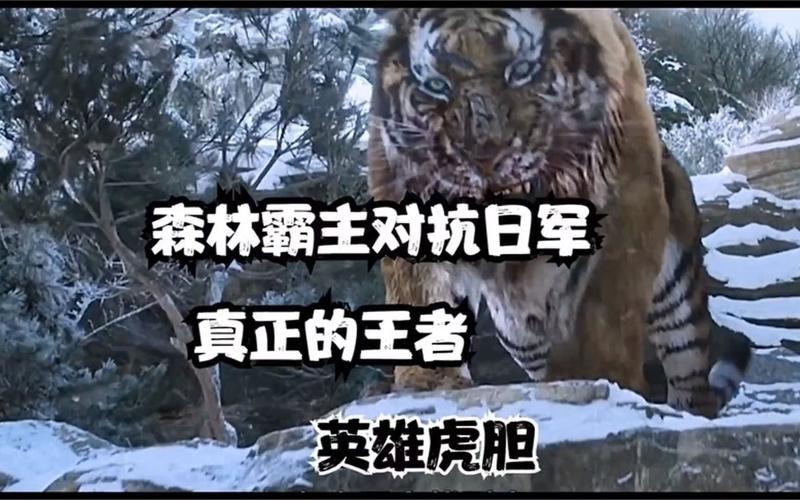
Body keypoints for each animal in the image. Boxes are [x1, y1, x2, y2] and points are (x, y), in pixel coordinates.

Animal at [366, 7, 751, 418]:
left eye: (521, 71)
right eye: (437, 85)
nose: (485, 155)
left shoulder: (626, 200)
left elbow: (608, 308)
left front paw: (606, 379)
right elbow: (419, 287)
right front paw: (429, 383)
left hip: (677, 296)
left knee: (689, 372)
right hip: (518, 331)